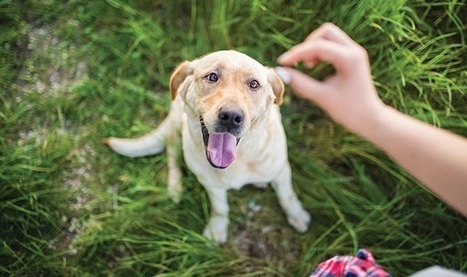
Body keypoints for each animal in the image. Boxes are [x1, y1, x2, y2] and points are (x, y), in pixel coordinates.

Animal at [106, 50, 310, 243]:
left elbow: (287, 195)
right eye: (212, 77)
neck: (238, 161)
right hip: (177, 126)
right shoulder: (211, 184)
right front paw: (217, 228)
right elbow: (220, 208)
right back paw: (175, 186)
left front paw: (297, 214)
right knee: (172, 151)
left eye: (254, 84)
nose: (231, 117)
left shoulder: (281, 171)